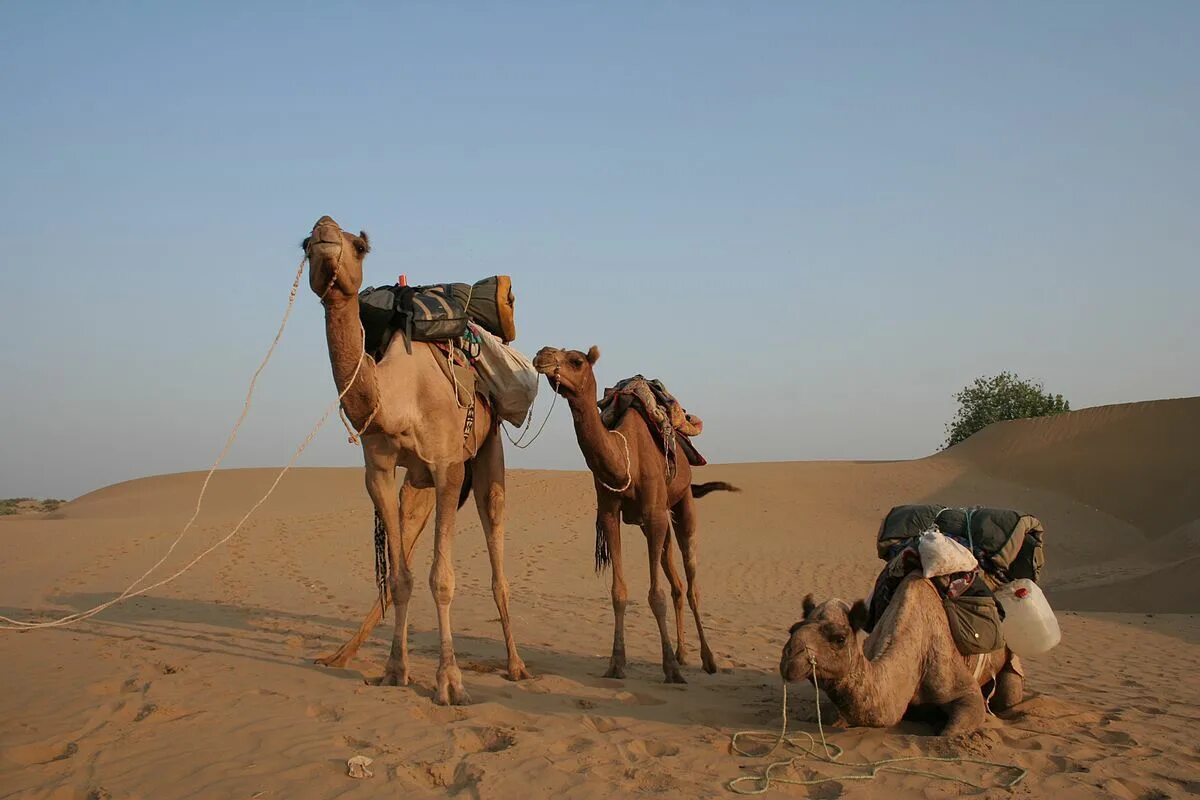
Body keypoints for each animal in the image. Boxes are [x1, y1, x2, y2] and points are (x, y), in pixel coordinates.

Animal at [302, 214, 528, 705]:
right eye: (306, 242)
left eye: (359, 245)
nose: (325, 227)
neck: (398, 397)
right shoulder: (380, 471)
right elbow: (401, 578)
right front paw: (394, 670)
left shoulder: (449, 467)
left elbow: (441, 579)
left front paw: (450, 682)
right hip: (416, 484)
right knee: (403, 548)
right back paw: (340, 655)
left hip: (487, 450)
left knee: (496, 543)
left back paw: (517, 665)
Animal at [530, 345, 734, 681]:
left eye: (576, 360)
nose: (541, 354)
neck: (627, 456)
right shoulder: (610, 515)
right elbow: (619, 592)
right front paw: (617, 663)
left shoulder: (653, 515)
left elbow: (655, 595)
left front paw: (669, 668)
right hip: (657, 520)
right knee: (677, 584)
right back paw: (683, 654)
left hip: (681, 504)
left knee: (691, 581)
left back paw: (708, 659)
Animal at [777, 573, 1022, 734]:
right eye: (792, 629)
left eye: (839, 639)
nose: (790, 659)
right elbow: (829, 715)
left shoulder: (960, 685)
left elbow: (951, 731)